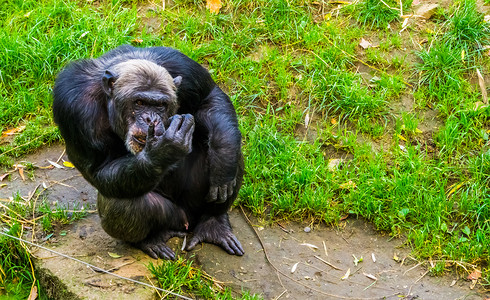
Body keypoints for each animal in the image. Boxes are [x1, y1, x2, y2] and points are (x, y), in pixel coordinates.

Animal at [52, 45, 244, 258]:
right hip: (174, 218)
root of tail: (187, 223)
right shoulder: (74, 106)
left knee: (233, 149)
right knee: (122, 203)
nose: (151, 119)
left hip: (195, 205)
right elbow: (99, 169)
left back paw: (214, 222)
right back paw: (151, 240)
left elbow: (209, 97)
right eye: (139, 103)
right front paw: (163, 152)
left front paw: (223, 161)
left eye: (160, 105)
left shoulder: (184, 68)